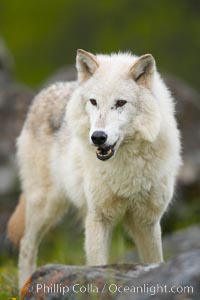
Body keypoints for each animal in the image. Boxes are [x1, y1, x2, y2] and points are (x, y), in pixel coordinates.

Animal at [7, 49, 181, 288]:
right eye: (94, 102)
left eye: (120, 102)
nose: (98, 137)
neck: (125, 167)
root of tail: (44, 93)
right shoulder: (99, 218)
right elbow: (98, 265)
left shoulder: (147, 222)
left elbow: (155, 260)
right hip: (46, 206)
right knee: (26, 244)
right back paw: (24, 286)